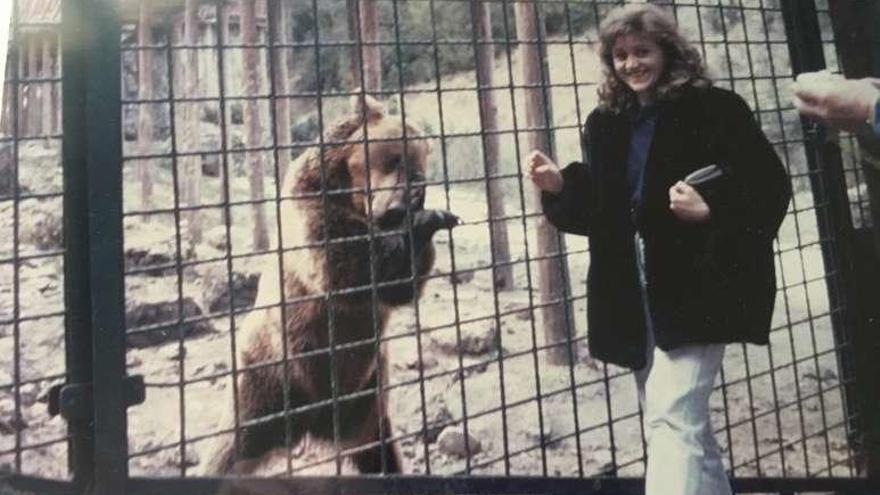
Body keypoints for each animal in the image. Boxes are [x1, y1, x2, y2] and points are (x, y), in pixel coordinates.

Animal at [211, 93, 460, 476]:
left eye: (419, 163)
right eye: (395, 157)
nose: (410, 195)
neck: (356, 200)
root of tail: (314, 425)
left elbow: (397, 286)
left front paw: (427, 220)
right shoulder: (311, 205)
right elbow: (343, 262)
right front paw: (420, 223)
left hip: (368, 401)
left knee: (379, 452)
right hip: (268, 381)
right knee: (231, 450)